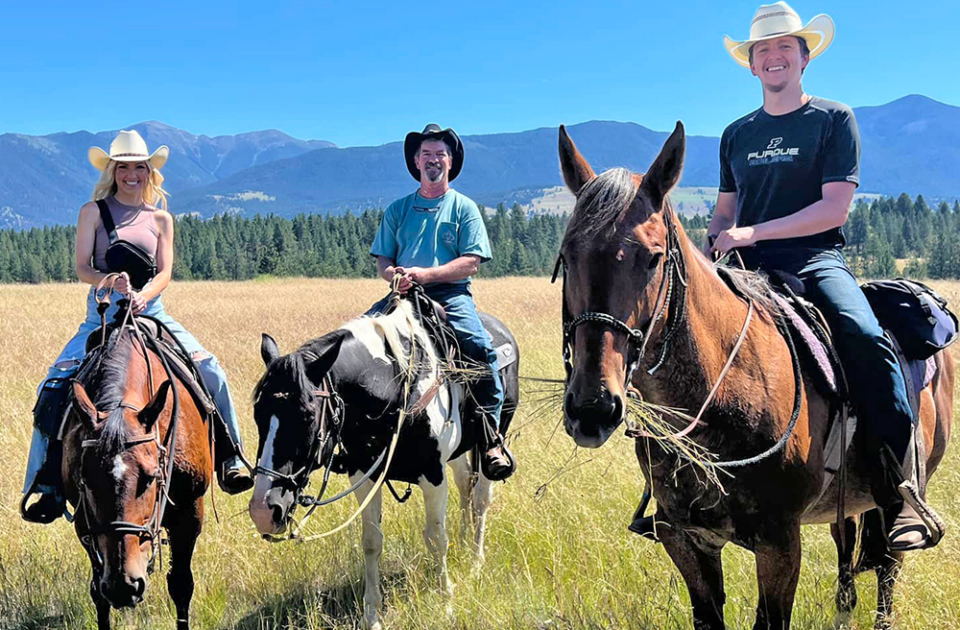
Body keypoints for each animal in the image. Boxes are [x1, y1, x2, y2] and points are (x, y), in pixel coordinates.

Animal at [64, 320, 213, 630]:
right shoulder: (84, 524)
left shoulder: (191, 511)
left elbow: (181, 585)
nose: (124, 586)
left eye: (151, 477)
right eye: (87, 480)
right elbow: (98, 594)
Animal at [248, 296, 516, 630]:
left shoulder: (433, 475)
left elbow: (436, 538)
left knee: (480, 497)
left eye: (308, 415)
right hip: (456, 455)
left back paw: (475, 561)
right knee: (466, 482)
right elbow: (371, 541)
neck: (392, 393)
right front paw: (372, 614)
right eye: (258, 414)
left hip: (490, 436)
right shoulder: (363, 475)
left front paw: (446, 604)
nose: (263, 511)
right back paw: (464, 542)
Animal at [556, 123, 952, 630]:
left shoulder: (779, 542)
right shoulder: (684, 539)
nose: (593, 407)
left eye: (653, 258)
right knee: (846, 554)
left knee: (887, 570)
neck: (716, 399)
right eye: (568, 256)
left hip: (902, 496)